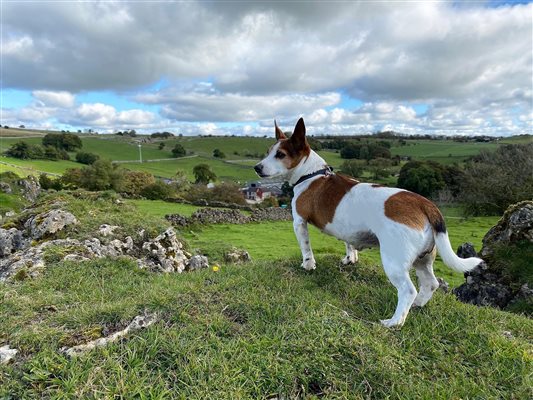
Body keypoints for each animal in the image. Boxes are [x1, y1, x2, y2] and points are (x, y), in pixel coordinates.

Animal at [254, 118, 482, 328]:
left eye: (280, 155)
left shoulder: (299, 221)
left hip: (394, 260)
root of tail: (425, 204)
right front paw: (350, 259)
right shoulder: (347, 229)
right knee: (430, 284)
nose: (257, 167)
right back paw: (418, 304)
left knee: (408, 290)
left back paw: (394, 322)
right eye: (268, 151)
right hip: (423, 258)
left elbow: (306, 248)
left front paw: (308, 265)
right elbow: (349, 244)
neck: (311, 174)